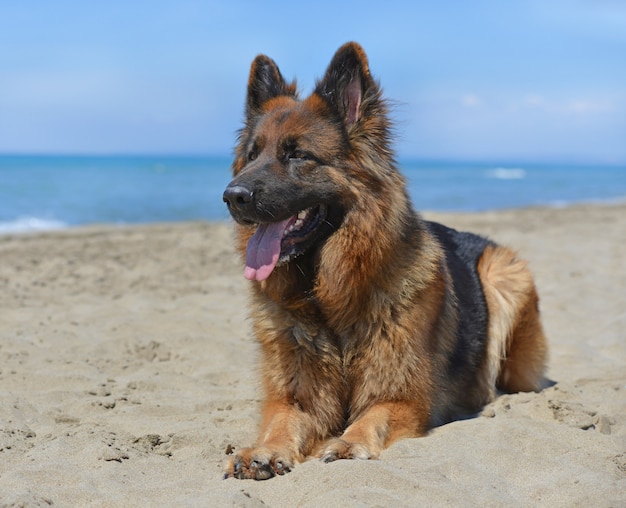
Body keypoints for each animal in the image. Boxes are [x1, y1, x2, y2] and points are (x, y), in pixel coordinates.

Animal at [222, 40, 544, 480]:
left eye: (298, 155)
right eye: (253, 155)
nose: (232, 196)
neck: (328, 298)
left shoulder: (401, 399)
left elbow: (370, 418)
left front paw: (349, 442)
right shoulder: (294, 396)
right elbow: (281, 421)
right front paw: (264, 450)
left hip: (502, 273)